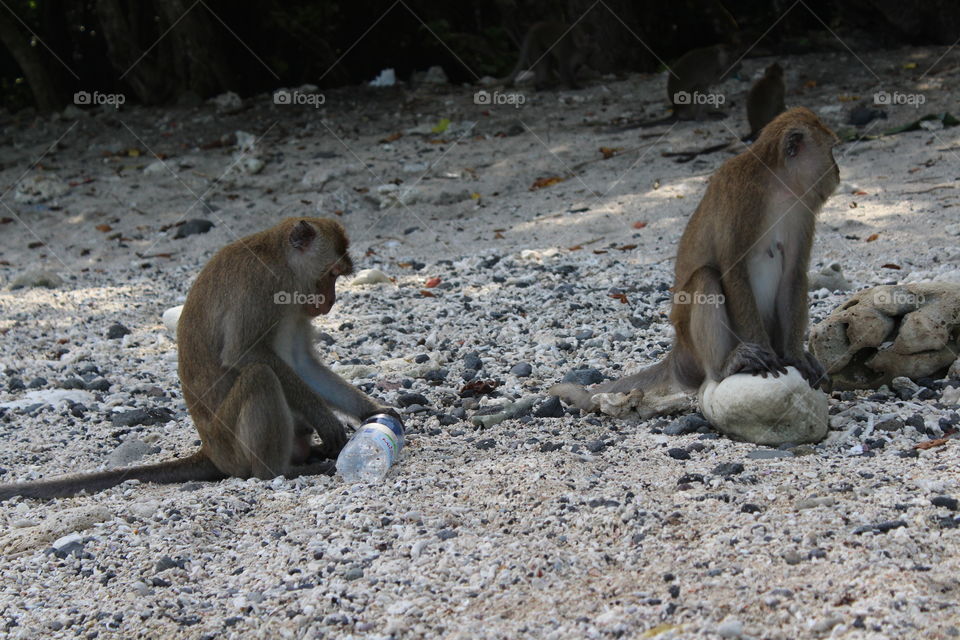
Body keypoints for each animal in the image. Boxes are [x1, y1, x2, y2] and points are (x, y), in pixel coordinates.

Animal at [0, 218, 399, 500]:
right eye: (330, 275)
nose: (330, 301)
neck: (280, 259)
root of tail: (211, 451)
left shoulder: (296, 308)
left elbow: (301, 363)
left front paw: (372, 411)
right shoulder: (260, 284)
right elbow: (244, 354)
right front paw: (327, 420)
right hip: (231, 445)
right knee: (259, 375)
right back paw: (278, 472)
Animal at [553, 107, 840, 414]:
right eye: (832, 150)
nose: (837, 173)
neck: (777, 184)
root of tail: (678, 352)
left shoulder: (802, 210)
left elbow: (793, 275)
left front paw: (795, 356)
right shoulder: (741, 196)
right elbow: (733, 271)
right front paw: (767, 354)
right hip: (694, 348)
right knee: (706, 277)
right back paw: (725, 366)